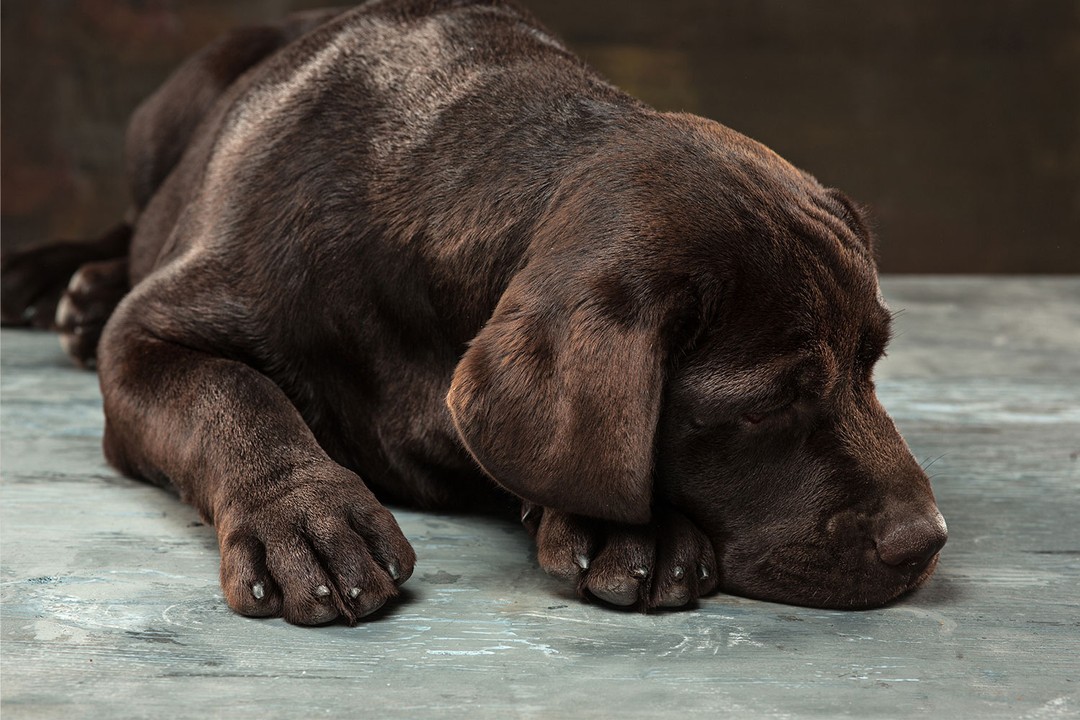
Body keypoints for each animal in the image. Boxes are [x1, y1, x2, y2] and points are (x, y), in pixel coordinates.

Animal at [0, 0, 946, 626]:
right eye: (764, 406)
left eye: (872, 366)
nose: (926, 540)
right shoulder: (151, 334)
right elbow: (232, 397)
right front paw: (302, 517)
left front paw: (625, 528)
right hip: (166, 118)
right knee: (134, 223)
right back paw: (66, 286)